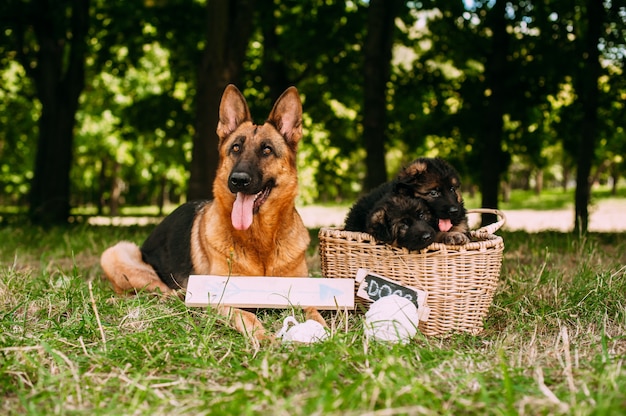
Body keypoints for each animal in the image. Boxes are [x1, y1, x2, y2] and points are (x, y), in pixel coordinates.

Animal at [100, 84, 324, 342]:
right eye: (235, 148)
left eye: (267, 150)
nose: (238, 180)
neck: (262, 243)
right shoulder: (225, 300)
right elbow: (248, 317)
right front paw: (266, 339)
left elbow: (315, 311)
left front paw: (325, 331)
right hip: (116, 254)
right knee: (161, 290)